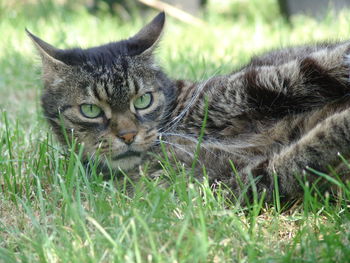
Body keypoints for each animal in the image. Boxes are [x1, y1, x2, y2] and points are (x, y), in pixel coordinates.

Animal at [27, 11, 350, 202]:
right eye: (91, 111)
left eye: (143, 100)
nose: (128, 135)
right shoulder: (230, 183)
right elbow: (301, 156)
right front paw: (342, 124)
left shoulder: (242, 87)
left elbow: (303, 70)